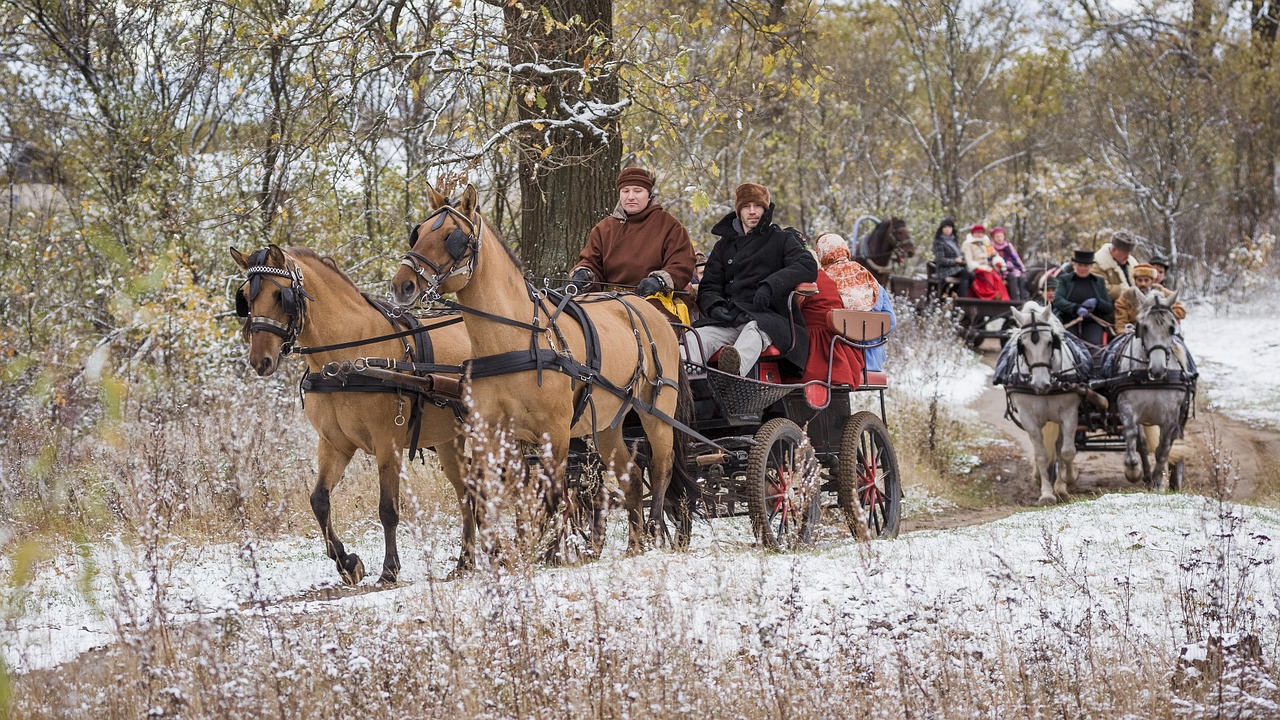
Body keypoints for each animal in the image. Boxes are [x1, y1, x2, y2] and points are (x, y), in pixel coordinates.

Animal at [230, 243, 476, 579]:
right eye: (245, 297)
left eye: (280, 295)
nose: (260, 360)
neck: (346, 358)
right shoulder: (335, 444)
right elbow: (319, 500)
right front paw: (347, 562)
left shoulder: (388, 443)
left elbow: (388, 508)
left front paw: (389, 568)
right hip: (450, 442)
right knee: (466, 492)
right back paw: (466, 560)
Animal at [389, 183, 696, 548]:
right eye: (418, 233)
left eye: (453, 237)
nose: (402, 285)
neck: (516, 340)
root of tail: (647, 308)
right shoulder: (493, 433)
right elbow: (500, 496)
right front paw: (511, 551)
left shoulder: (556, 432)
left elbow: (549, 499)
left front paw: (547, 550)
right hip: (607, 424)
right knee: (632, 476)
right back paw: (634, 546)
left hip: (656, 411)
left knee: (663, 468)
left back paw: (655, 531)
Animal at [993, 299, 1095, 502]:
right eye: (1022, 345)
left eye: (1050, 342)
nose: (1041, 383)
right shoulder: (1028, 418)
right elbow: (1041, 455)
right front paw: (1047, 493)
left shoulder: (1069, 414)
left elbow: (1067, 452)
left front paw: (1068, 479)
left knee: (1061, 447)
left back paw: (1061, 485)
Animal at [1105, 288, 1192, 489]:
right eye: (1143, 327)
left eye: (1171, 328)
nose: (1158, 369)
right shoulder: (1127, 406)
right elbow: (1133, 435)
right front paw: (1133, 470)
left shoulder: (1171, 415)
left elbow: (1163, 448)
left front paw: (1158, 481)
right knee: (1142, 443)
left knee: (1174, 441)